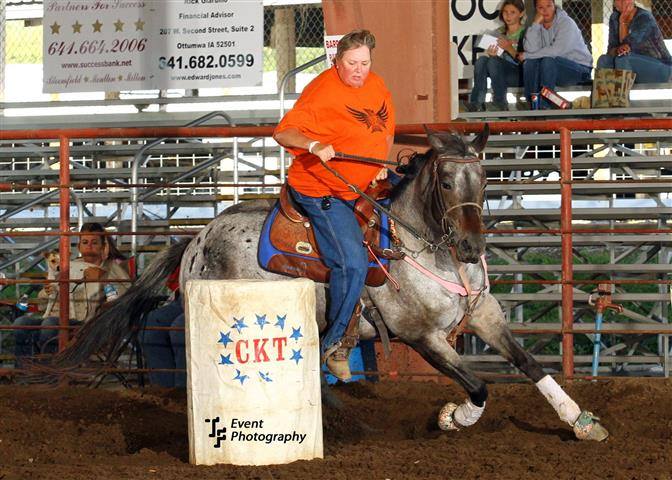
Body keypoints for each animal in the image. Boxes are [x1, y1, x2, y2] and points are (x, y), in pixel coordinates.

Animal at [53, 126, 608, 442]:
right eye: (447, 182)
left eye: (486, 179)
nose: (472, 248)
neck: (425, 247)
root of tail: (194, 240)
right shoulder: (421, 337)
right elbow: (479, 384)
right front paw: (453, 418)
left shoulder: (485, 314)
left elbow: (530, 365)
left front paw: (582, 422)